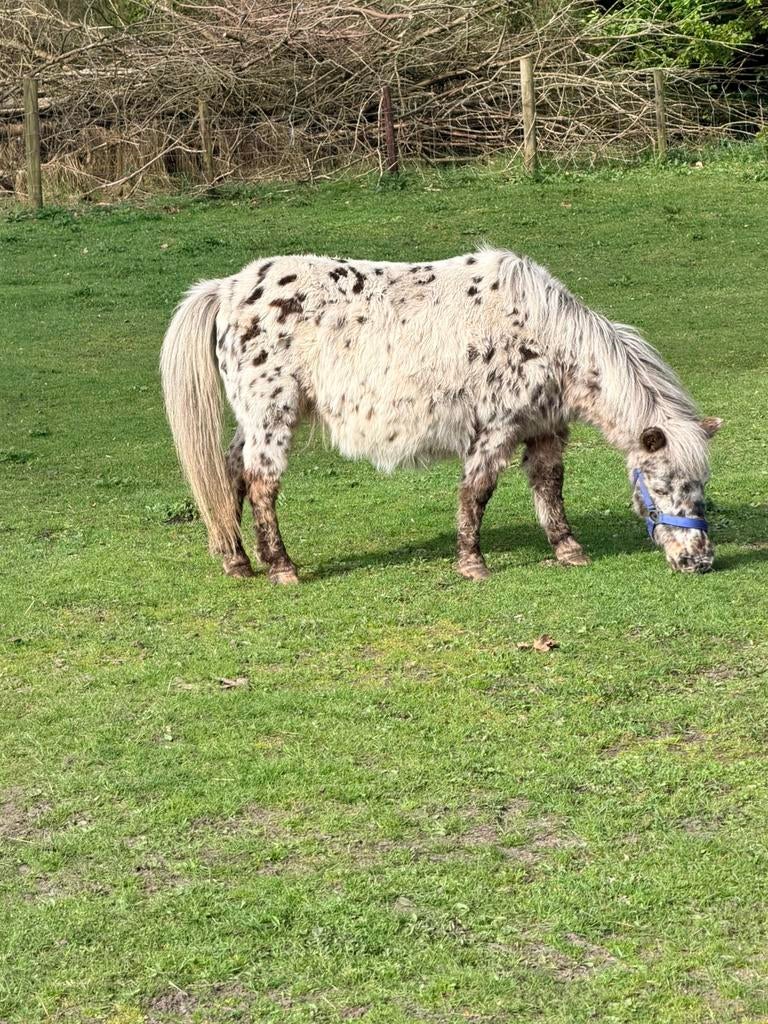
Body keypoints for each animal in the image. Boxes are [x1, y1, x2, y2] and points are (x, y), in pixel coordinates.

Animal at [160, 247, 721, 583]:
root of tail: (228, 288)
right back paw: (280, 567)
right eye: (663, 484)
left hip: (252, 420)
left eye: (701, 486)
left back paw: (236, 560)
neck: (544, 335)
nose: (699, 560)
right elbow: (477, 492)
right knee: (261, 483)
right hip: (272, 414)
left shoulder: (545, 430)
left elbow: (549, 486)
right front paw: (472, 563)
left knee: (230, 472)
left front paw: (568, 549)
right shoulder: (495, 429)